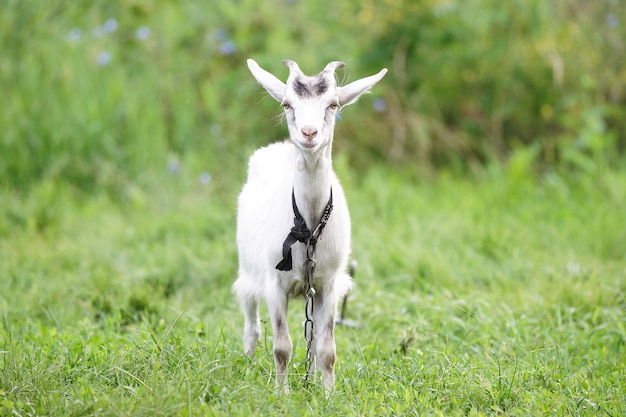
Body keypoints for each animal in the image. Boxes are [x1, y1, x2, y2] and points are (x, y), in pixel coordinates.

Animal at [230, 57, 382, 388]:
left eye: (333, 104)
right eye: (287, 103)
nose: (309, 133)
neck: (308, 225)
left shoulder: (329, 285)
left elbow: (326, 349)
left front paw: (327, 392)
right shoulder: (275, 284)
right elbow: (281, 347)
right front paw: (281, 393)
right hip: (248, 270)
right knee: (251, 325)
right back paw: (246, 366)